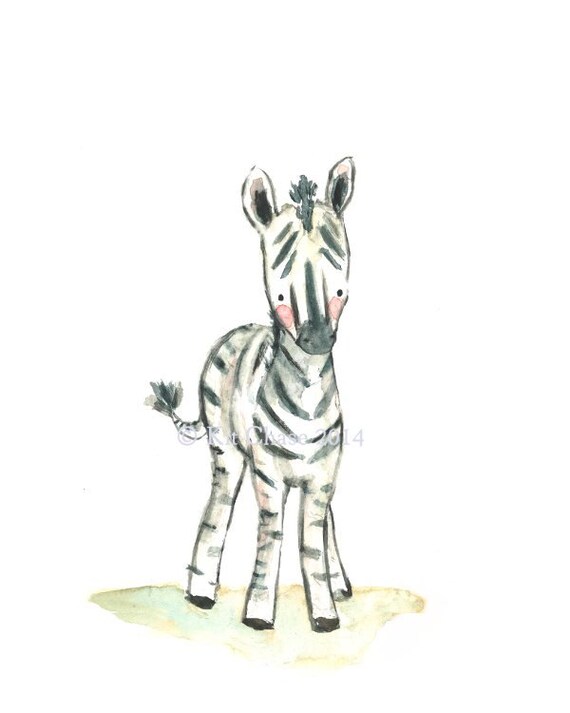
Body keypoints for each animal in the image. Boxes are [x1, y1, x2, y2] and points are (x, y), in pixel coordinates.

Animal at [148, 158, 356, 633]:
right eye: (279, 292)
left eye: (339, 289)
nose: (317, 339)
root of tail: (235, 332)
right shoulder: (268, 473)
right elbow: (273, 534)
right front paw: (260, 614)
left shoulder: (323, 473)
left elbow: (312, 539)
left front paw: (325, 613)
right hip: (226, 449)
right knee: (219, 507)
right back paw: (200, 592)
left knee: (326, 520)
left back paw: (342, 586)